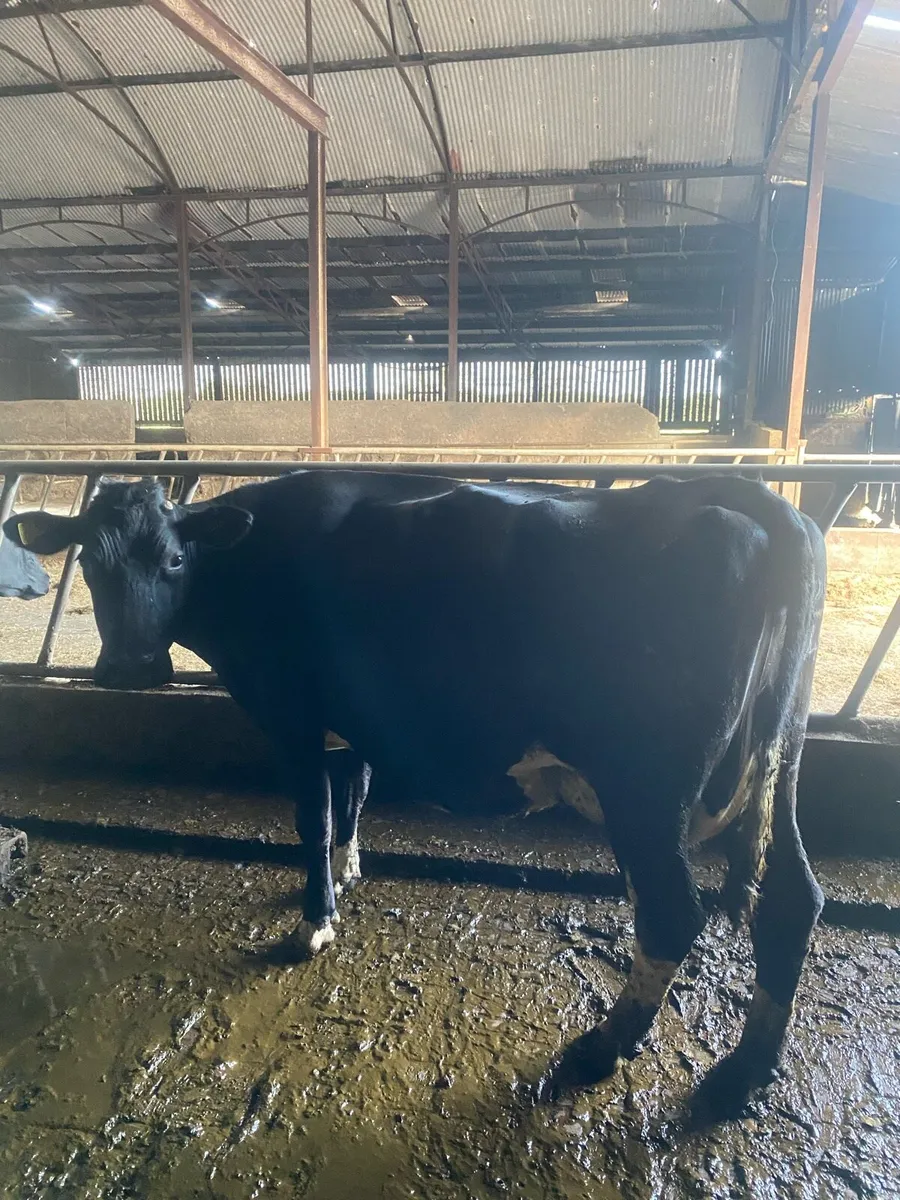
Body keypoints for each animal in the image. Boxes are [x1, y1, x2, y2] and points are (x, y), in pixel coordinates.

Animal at [5, 469, 827, 1114]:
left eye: (176, 559)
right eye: (89, 562)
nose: (128, 668)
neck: (248, 560)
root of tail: (744, 496)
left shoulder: (289, 711)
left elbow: (312, 813)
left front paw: (315, 921)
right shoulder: (354, 718)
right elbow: (354, 792)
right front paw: (346, 876)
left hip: (647, 787)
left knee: (672, 911)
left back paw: (600, 1048)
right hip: (778, 763)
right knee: (792, 899)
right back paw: (745, 1071)